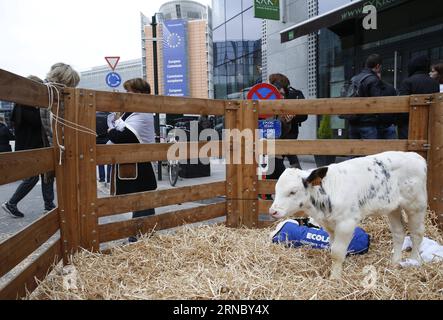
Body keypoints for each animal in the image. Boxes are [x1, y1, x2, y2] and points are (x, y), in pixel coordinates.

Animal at [268, 151, 428, 278]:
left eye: (293, 191)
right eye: (276, 189)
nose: (273, 211)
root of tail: (415, 156)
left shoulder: (346, 223)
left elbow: (337, 252)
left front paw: (335, 279)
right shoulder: (329, 225)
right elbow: (333, 249)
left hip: (416, 205)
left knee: (417, 233)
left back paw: (414, 261)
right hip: (393, 207)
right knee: (399, 232)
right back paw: (395, 263)